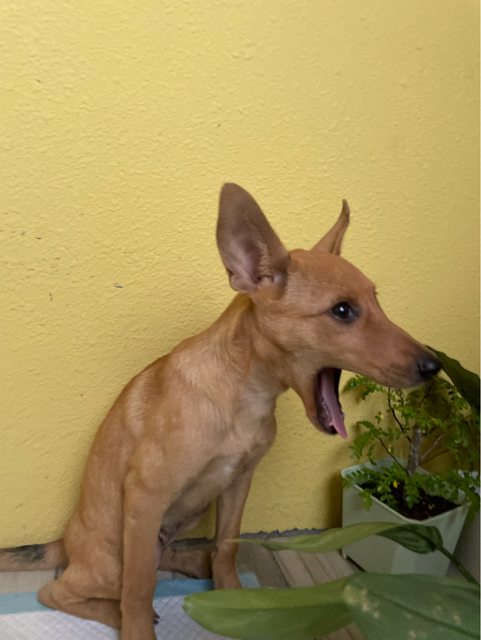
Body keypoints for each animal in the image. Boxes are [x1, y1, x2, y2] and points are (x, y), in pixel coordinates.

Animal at [0, 184, 440, 639]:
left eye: (377, 300)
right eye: (342, 311)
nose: (434, 365)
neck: (243, 396)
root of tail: (66, 540)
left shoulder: (239, 481)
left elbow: (227, 546)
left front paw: (232, 600)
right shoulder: (146, 493)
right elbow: (139, 588)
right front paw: (138, 627)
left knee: (163, 558)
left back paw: (197, 561)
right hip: (114, 555)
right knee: (72, 590)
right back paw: (118, 610)